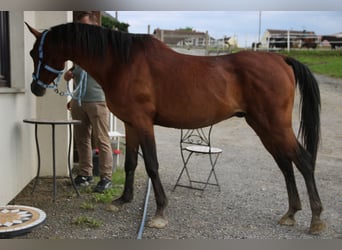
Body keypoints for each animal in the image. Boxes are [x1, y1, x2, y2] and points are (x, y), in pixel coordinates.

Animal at [26, 22, 326, 234]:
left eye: (34, 53)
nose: (35, 89)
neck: (122, 63)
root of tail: (281, 59)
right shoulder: (131, 124)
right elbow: (132, 163)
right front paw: (123, 200)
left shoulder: (144, 123)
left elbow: (152, 165)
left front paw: (159, 212)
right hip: (263, 126)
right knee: (285, 164)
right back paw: (291, 213)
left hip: (274, 125)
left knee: (303, 160)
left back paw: (316, 219)